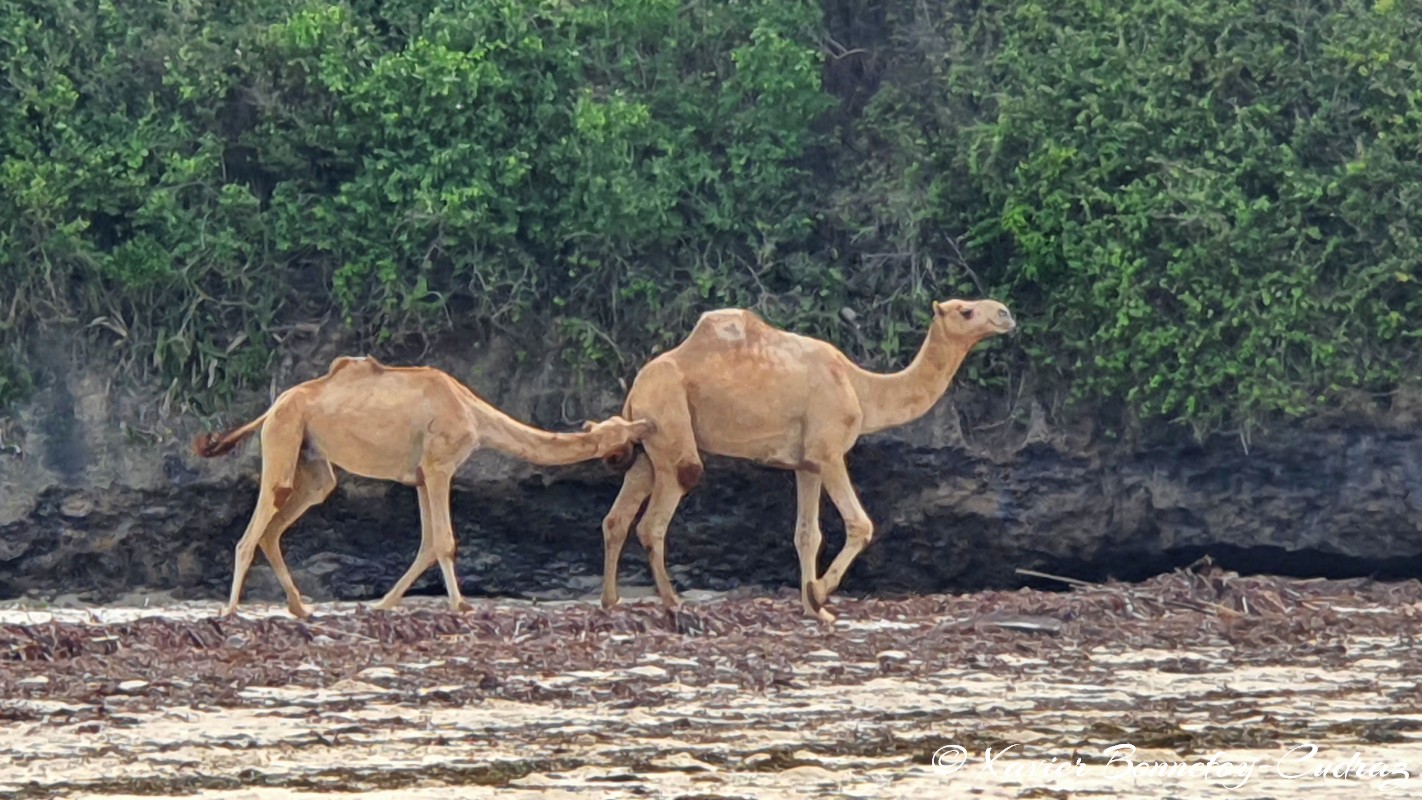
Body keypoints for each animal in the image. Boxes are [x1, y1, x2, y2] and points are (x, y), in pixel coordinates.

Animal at [192, 355, 655, 618]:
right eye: (622, 431)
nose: (645, 426)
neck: (474, 415)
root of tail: (273, 405)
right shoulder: (438, 466)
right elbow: (445, 541)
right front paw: (461, 605)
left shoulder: (418, 476)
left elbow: (428, 543)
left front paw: (381, 603)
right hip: (283, 438)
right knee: (254, 528)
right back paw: (230, 610)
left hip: (314, 463)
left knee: (279, 523)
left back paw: (300, 606)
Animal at [598, 298, 1016, 622]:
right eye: (965, 311)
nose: (1006, 313)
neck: (860, 388)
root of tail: (635, 389)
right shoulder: (828, 452)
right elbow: (860, 524)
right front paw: (819, 594)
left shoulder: (806, 464)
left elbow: (807, 534)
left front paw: (815, 609)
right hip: (671, 424)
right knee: (655, 519)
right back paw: (674, 603)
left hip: (647, 448)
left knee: (617, 517)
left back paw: (610, 601)